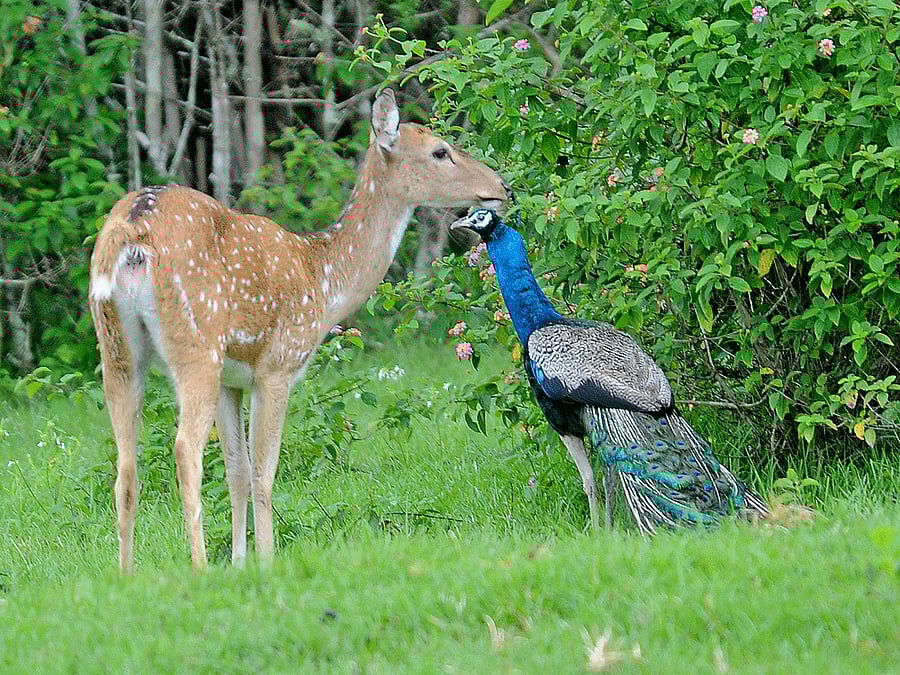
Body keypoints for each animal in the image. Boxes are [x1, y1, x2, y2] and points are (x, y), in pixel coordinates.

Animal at [89, 89, 510, 572]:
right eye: (440, 151)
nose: (502, 187)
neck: (323, 280)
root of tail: (132, 232)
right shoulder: (278, 364)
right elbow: (263, 471)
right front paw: (266, 561)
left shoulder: (233, 378)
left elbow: (236, 470)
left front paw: (240, 563)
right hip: (196, 344)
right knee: (184, 452)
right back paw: (198, 567)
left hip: (117, 351)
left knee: (126, 468)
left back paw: (127, 575)